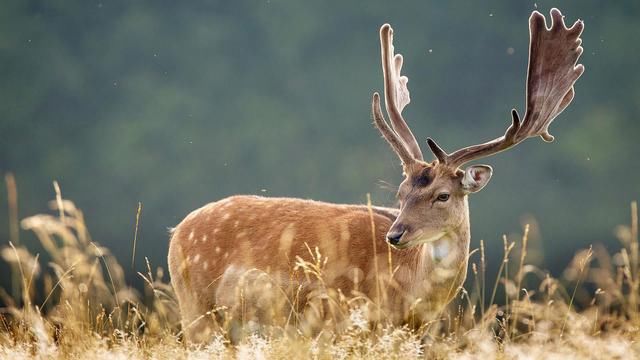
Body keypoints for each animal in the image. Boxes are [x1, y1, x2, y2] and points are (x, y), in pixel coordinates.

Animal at [166, 8, 584, 344]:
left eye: (442, 195)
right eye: (400, 193)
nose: (395, 234)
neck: (408, 293)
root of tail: (176, 233)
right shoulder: (341, 319)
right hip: (196, 309)